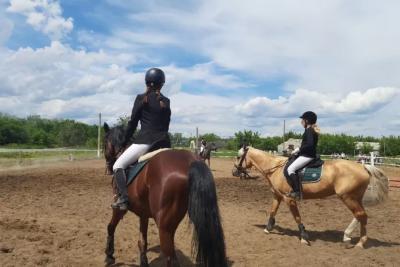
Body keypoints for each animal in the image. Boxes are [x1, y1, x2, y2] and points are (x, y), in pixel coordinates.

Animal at [103, 124, 227, 266]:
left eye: (104, 142)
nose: (108, 168)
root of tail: (190, 161)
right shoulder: (143, 213)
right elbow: (142, 241)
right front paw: (143, 261)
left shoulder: (119, 208)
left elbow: (110, 227)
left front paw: (109, 256)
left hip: (164, 226)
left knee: (171, 258)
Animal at [233, 147, 390, 249]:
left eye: (238, 156)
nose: (234, 172)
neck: (275, 168)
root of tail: (363, 167)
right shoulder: (277, 196)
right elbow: (272, 211)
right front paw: (268, 228)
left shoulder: (289, 199)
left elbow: (297, 217)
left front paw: (304, 237)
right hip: (354, 198)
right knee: (361, 215)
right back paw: (349, 237)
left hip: (348, 197)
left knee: (361, 215)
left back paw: (358, 242)